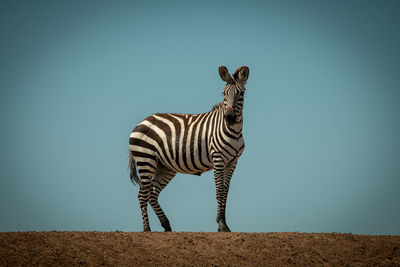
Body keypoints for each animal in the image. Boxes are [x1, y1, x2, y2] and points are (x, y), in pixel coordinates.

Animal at [128, 65, 248, 232]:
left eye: (241, 93)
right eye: (224, 93)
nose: (229, 117)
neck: (233, 131)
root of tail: (142, 122)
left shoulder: (232, 162)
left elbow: (226, 191)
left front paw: (224, 225)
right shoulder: (218, 159)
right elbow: (219, 190)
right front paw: (221, 224)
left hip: (164, 167)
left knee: (152, 193)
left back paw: (167, 226)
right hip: (146, 159)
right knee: (142, 194)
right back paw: (147, 229)